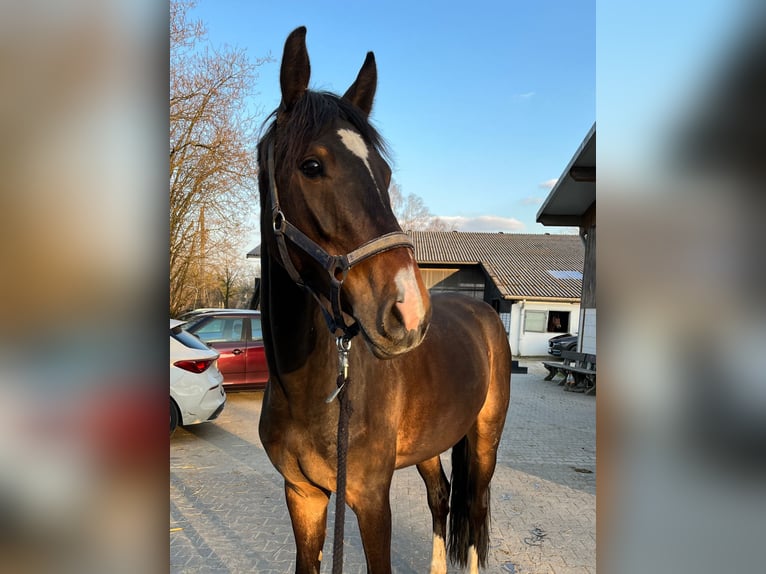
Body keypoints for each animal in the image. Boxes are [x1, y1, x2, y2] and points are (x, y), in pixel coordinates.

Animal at [260, 28, 516, 574]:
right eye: (312, 166)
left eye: (384, 172)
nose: (408, 310)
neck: (309, 389)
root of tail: (485, 312)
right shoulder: (302, 496)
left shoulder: (372, 500)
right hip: (430, 445)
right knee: (442, 497)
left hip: (485, 440)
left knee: (476, 510)